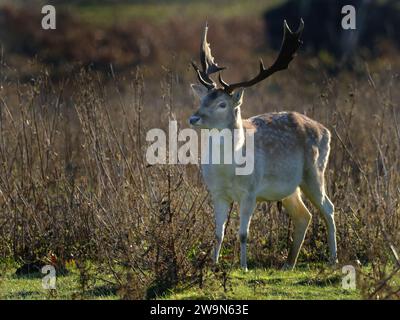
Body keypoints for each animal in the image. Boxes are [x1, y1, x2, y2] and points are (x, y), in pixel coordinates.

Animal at [191, 20, 338, 270]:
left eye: (222, 104)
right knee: (304, 215)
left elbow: (243, 234)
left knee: (328, 208)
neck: (228, 171)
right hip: (289, 187)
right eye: (202, 100)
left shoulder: (250, 192)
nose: (193, 118)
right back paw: (288, 264)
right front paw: (213, 265)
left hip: (315, 172)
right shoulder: (217, 192)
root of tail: (326, 130)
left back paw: (333, 259)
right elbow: (218, 234)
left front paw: (243, 267)